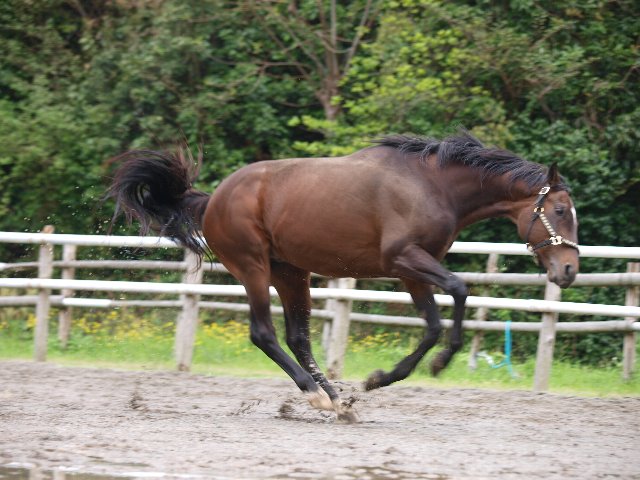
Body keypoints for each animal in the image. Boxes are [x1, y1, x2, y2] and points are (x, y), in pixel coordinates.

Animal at [109, 131, 580, 420]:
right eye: (560, 211)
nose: (569, 270)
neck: (433, 185)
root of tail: (214, 199)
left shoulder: (412, 271)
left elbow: (431, 324)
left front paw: (377, 380)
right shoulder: (405, 259)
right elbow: (459, 290)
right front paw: (438, 363)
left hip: (292, 272)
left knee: (298, 337)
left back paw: (338, 399)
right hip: (253, 268)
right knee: (264, 334)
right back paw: (318, 396)